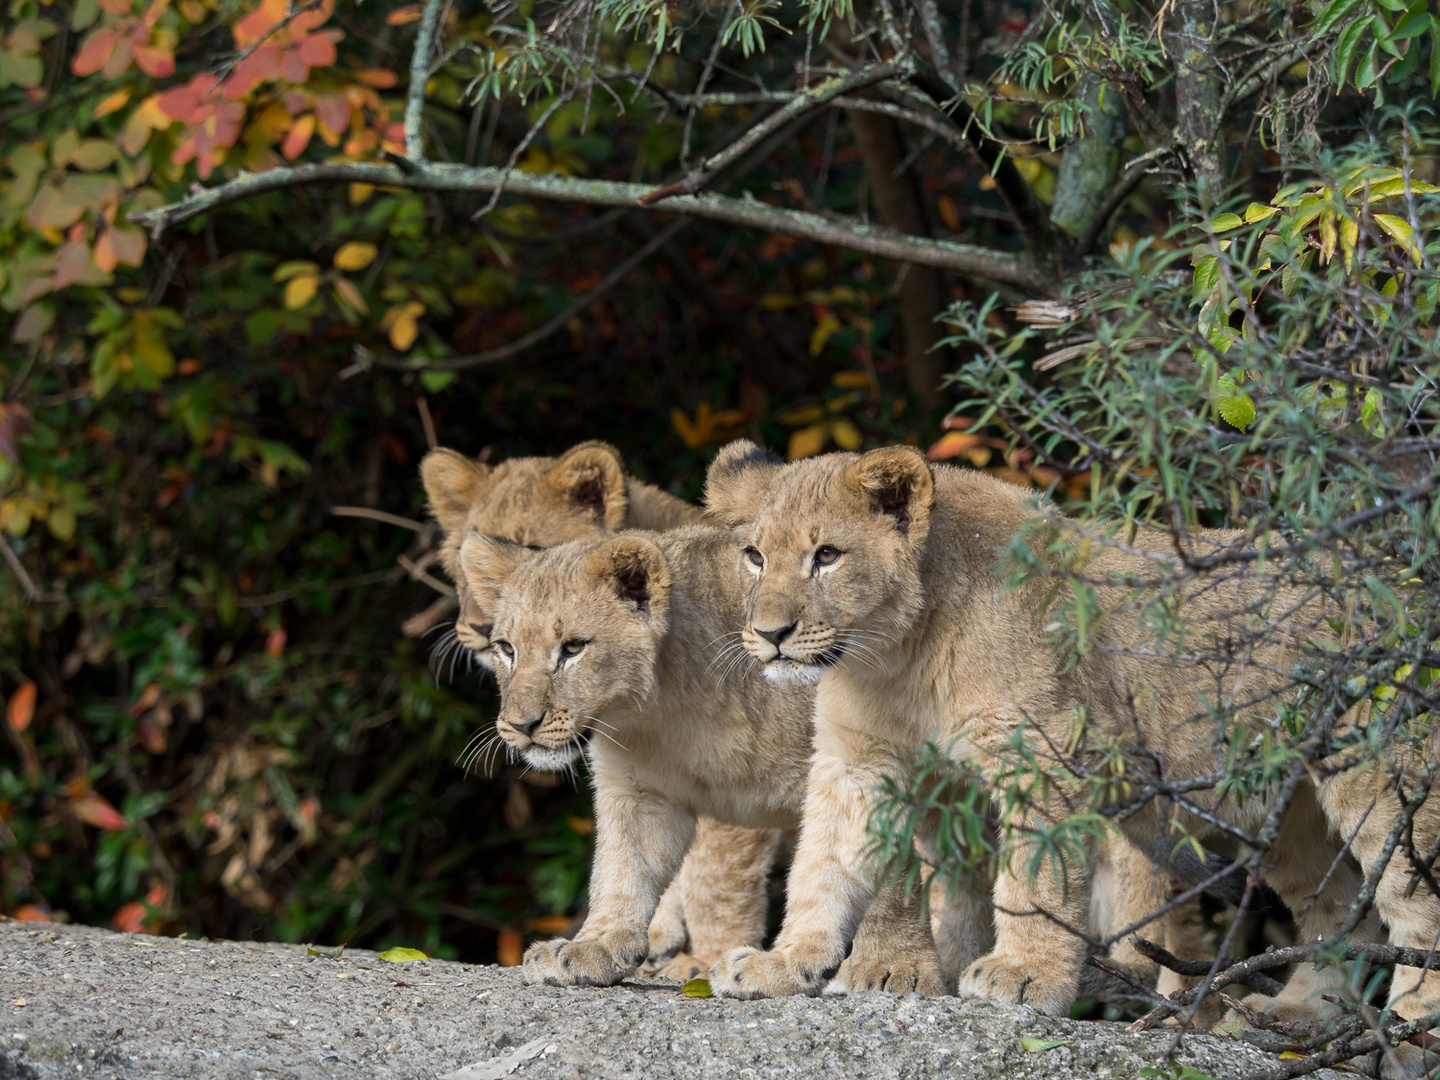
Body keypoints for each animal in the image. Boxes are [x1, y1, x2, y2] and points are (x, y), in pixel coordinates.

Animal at [420, 443, 777, 984]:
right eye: (462, 563)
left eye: (535, 546)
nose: (481, 630)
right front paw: (644, 941)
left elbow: (715, 879)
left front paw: (706, 960)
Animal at [463, 527, 956, 996]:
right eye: (506, 649)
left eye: (572, 648)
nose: (521, 725)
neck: (660, 706)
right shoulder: (640, 790)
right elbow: (622, 870)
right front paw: (596, 947)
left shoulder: (857, 758)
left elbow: (884, 872)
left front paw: (895, 967)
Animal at [705, 443, 1428, 1071]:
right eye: (754, 557)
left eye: (827, 555)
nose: (770, 634)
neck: (896, 655)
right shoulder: (857, 761)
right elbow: (821, 869)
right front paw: (784, 963)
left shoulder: (1043, 752)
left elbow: (1033, 879)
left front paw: (1025, 977)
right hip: (1282, 812)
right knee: (1340, 909)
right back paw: (1300, 1014)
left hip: (1383, 780)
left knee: (1415, 907)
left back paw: (1414, 1035)